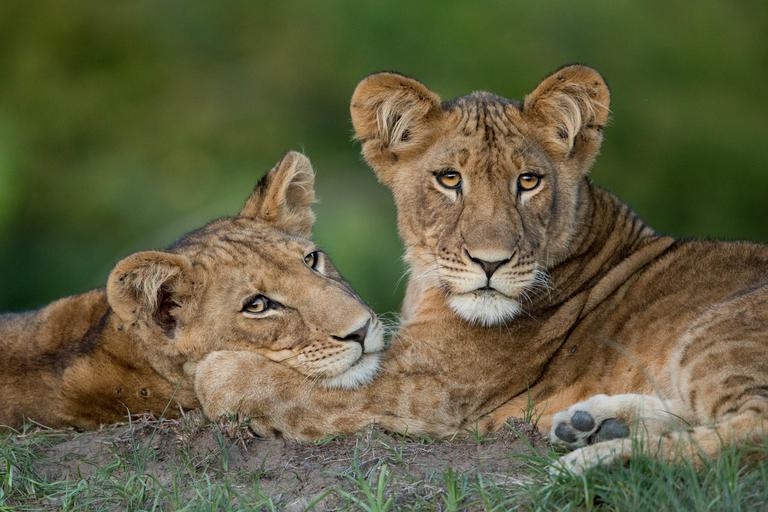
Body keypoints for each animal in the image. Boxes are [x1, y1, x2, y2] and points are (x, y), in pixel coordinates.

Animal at [195, 65, 768, 473]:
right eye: (449, 179)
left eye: (529, 181)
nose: (490, 263)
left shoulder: (427, 393)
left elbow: (285, 386)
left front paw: (213, 370)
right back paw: (593, 424)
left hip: (716, 335)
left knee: (751, 433)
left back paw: (597, 460)